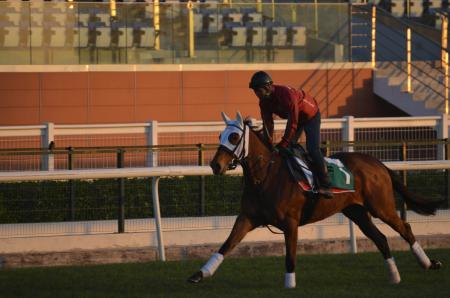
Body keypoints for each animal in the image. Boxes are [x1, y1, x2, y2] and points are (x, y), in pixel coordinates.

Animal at [187, 110, 442, 288]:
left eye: (234, 136)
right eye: (219, 135)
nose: (215, 165)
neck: (266, 176)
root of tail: (379, 164)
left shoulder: (290, 222)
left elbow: (290, 255)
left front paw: (290, 284)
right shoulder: (247, 217)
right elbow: (226, 245)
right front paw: (200, 274)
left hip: (381, 206)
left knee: (404, 228)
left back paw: (428, 263)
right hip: (357, 212)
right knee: (380, 239)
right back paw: (394, 276)